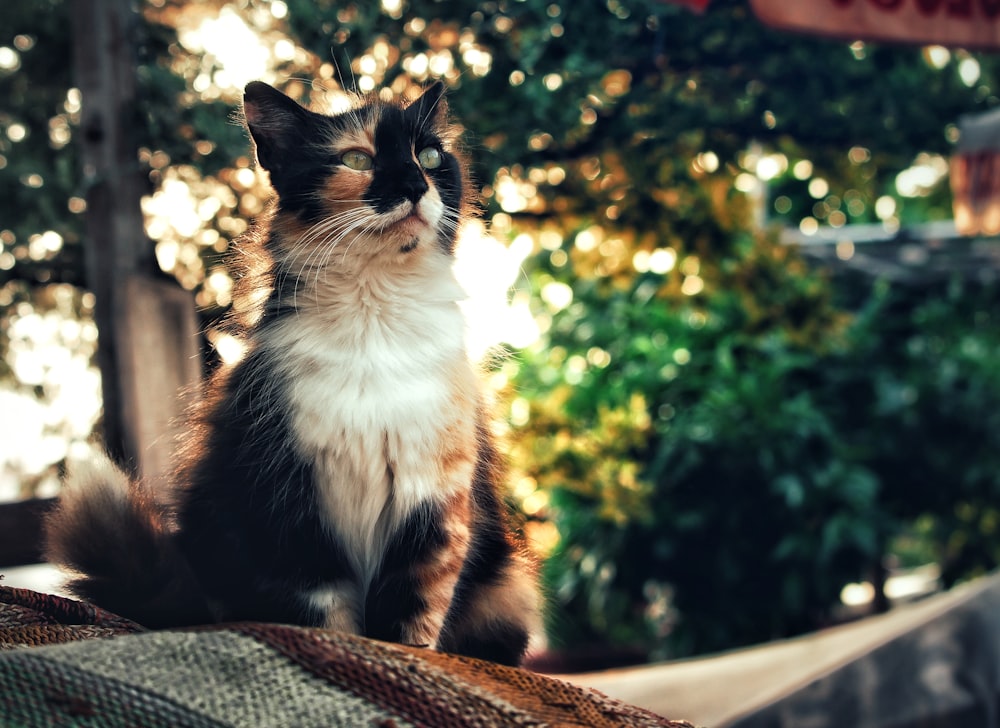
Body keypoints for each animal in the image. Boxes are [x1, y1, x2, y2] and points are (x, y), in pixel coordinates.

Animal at [46, 79, 544, 664]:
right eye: (357, 159)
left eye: (429, 157)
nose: (417, 185)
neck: (374, 315)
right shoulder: (288, 503)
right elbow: (328, 615)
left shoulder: (434, 503)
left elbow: (411, 619)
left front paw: (405, 662)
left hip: (508, 588)